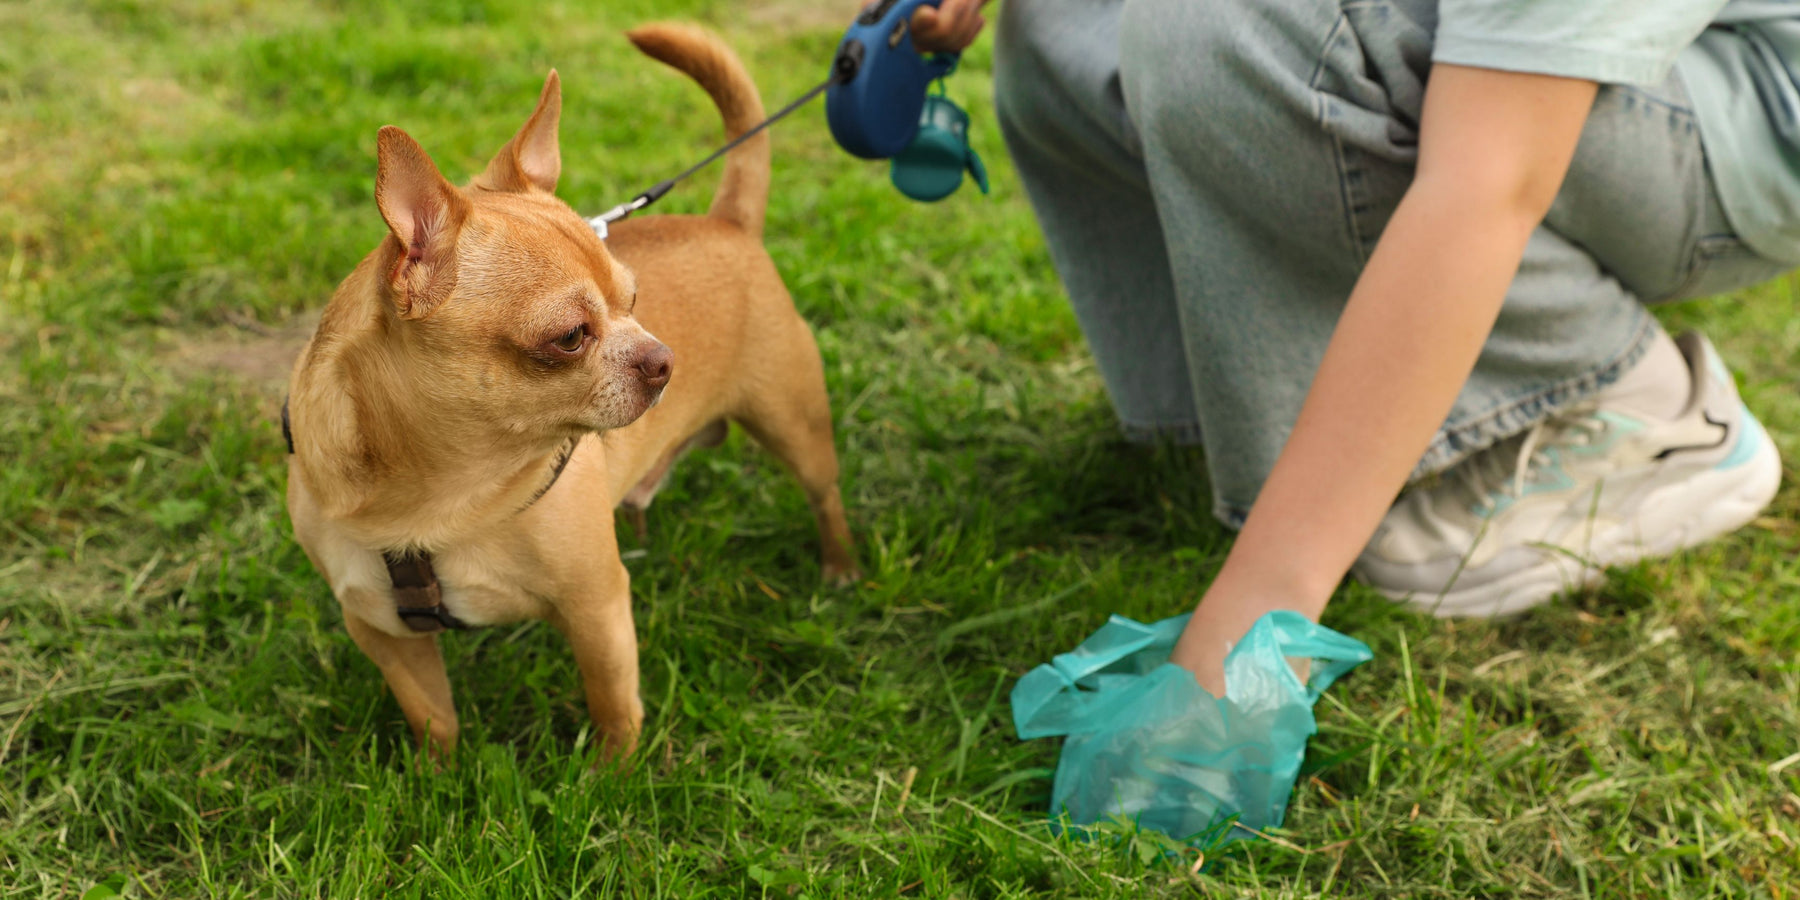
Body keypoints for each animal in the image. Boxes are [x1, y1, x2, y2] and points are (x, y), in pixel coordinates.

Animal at [286, 24, 856, 759]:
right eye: (569, 337)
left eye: (634, 301)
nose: (664, 358)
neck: (440, 493)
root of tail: (727, 221)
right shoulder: (383, 631)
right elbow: (432, 716)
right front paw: (437, 775)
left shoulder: (597, 607)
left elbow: (611, 700)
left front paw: (614, 772)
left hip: (795, 425)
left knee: (824, 497)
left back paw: (839, 567)